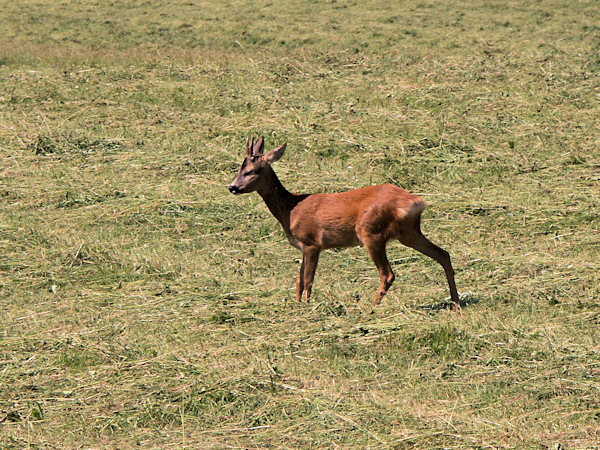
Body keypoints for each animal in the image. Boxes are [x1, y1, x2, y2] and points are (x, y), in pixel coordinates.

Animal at [227, 135, 462, 308]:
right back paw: (456, 301)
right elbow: (298, 282)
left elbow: (307, 280)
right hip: (409, 232)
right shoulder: (302, 247)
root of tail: (415, 201)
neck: (291, 209)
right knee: (443, 254)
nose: (233, 187)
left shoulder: (312, 243)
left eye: (251, 171)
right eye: (239, 170)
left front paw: (307, 307)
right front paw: (297, 305)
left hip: (371, 232)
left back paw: (371, 306)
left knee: (387, 274)